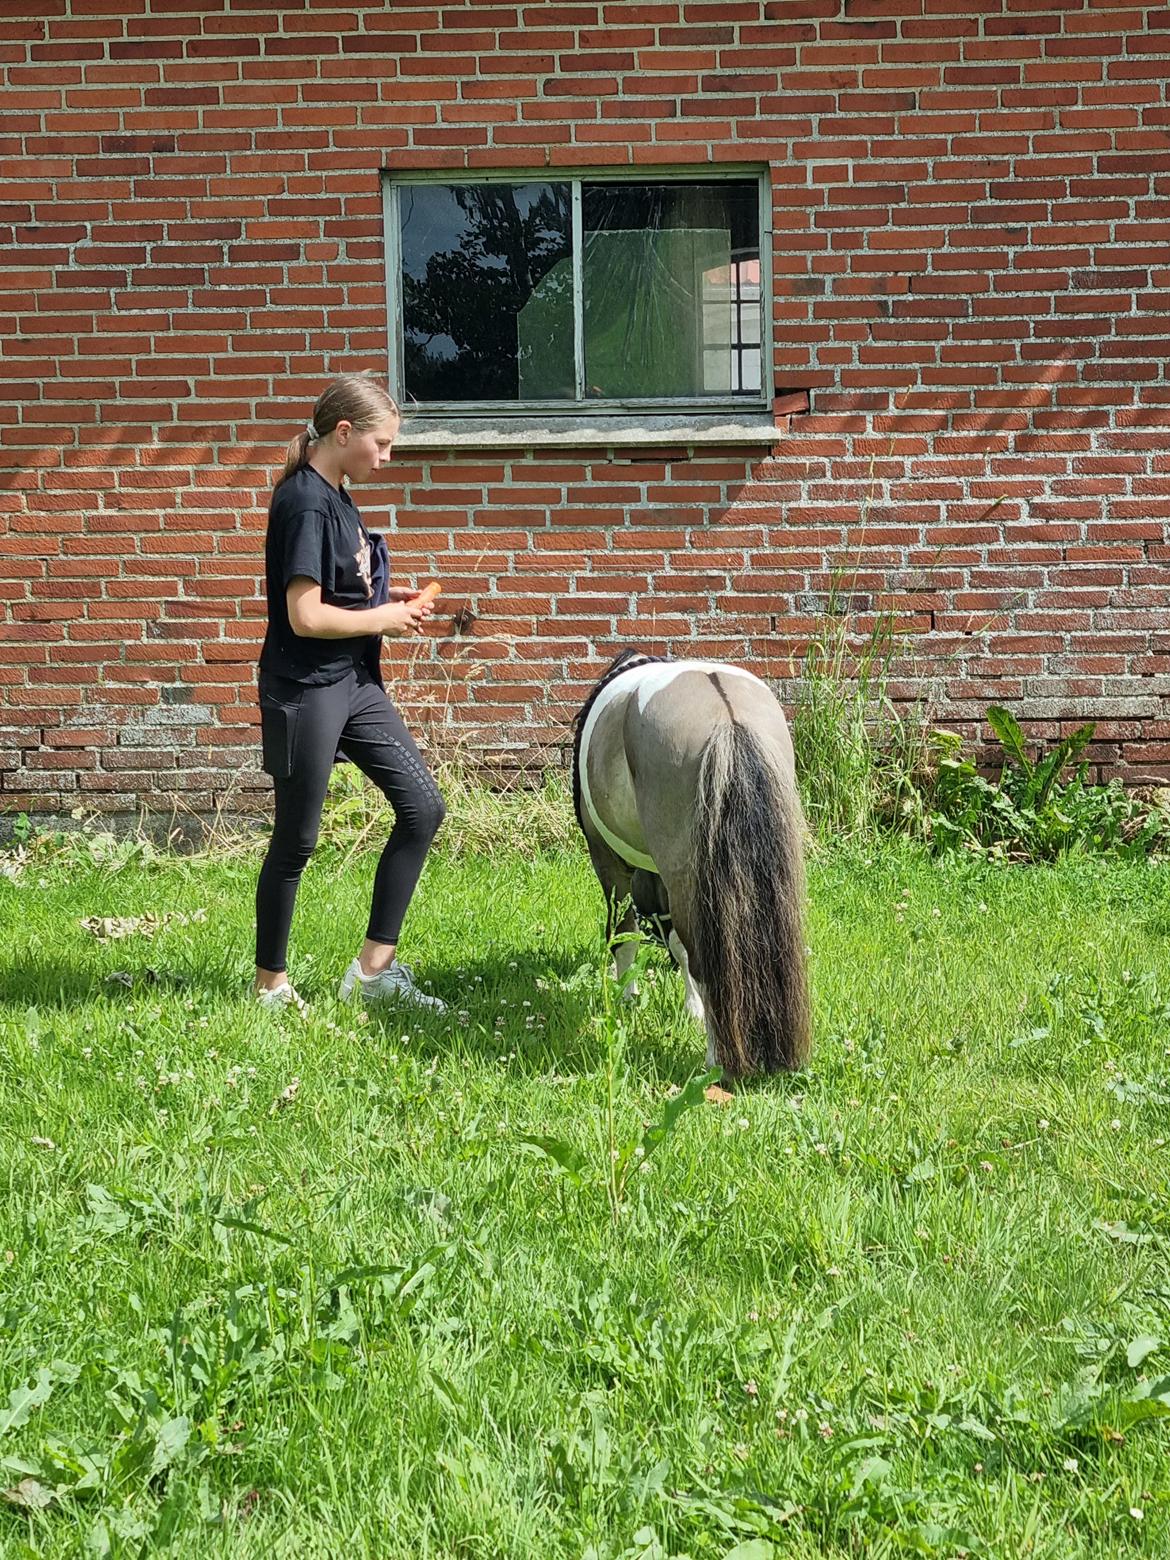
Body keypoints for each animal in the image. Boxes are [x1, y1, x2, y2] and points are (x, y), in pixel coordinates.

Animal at [574, 652, 811, 1079]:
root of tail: (727, 716)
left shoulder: (609, 862)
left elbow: (626, 934)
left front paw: (626, 1000)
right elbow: (676, 945)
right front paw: (691, 1011)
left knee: (704, 960)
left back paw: (716, 1062)